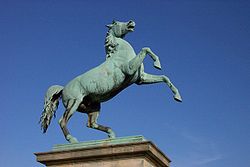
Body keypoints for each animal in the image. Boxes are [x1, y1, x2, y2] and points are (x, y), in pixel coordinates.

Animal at [40, 19, 182, 142]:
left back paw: (111, 135)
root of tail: (63, 88)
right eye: (116, 22)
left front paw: (177, 96)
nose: (131, 22)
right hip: (74, 102)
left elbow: (164, 77)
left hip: (94, 107)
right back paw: (73, 140)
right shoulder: (130, 69)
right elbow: (145, 48)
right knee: (62, 121)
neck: (120, 54)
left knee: (91, 124)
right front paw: (157, 63)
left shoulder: (141, 79)